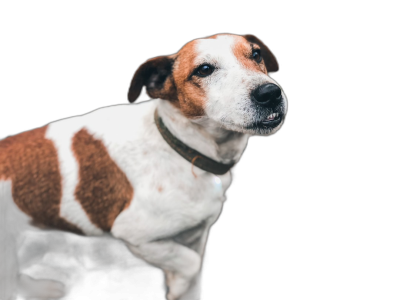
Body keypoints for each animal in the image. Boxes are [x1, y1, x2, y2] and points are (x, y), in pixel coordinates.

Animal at [0, 33, 288, 300]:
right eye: (204, 69)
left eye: (256, 54)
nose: (270, 93)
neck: (180, 147)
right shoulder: (139, 237)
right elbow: (192, 266)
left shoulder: (194, 235)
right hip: (6, 259)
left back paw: (40, 289)